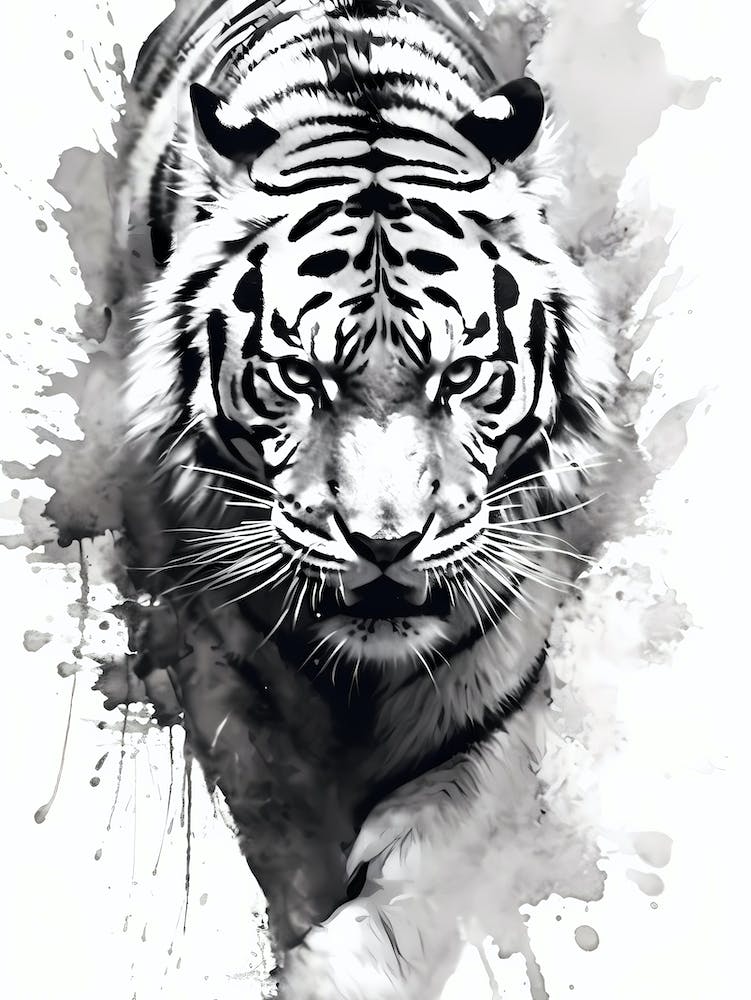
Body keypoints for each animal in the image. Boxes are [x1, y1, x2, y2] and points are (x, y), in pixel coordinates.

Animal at [114, 0, 618, 996]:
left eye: (458, 374)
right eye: (299, 377)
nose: (384, 544)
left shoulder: (489, 712)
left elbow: (416, 891)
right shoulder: (225, 675)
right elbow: (283, 832)